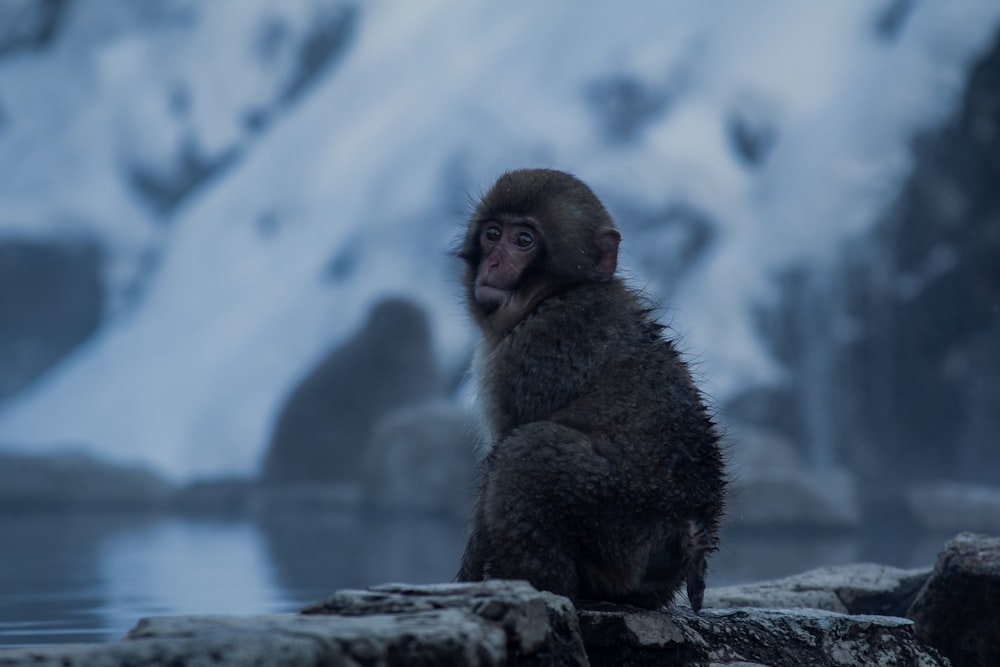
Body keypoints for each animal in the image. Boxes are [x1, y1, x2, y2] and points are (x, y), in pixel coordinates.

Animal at [458, 170, 724, 612]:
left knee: (524, 454)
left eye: (524, 240)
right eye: (493, 234)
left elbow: (502, 450)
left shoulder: (536, 352)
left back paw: (544, 588)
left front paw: (468, 578)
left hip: (621, 513)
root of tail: (694, 524)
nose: (493, 263)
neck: (552, 295)